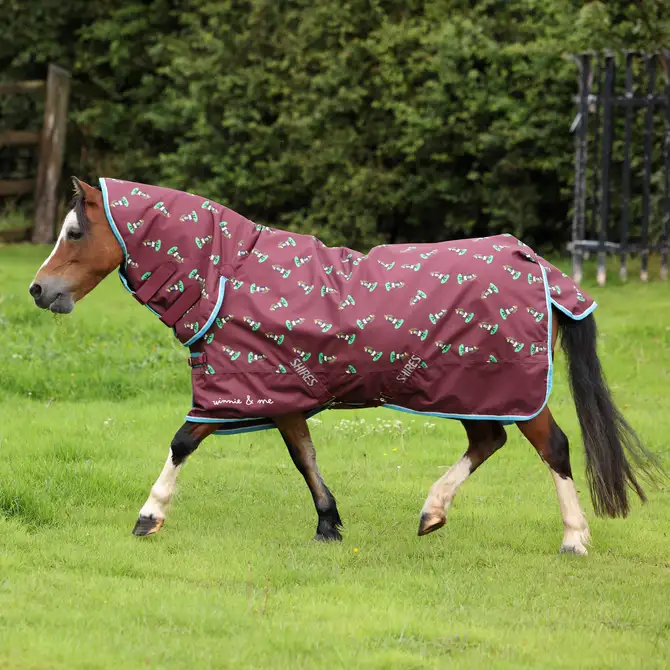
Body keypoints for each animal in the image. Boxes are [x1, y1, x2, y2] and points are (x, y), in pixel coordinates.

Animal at [28, 177, 662, 555]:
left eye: (74, 231)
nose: (38, 290)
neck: (230, 274)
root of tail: (535, 262)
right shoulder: (281, 392)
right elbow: (304, 457)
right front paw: (328, 524)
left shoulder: (233, 391)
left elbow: (184, 440)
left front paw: (149, 515)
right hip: (467, 388)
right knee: (487, 442)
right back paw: (432, 513)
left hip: (511, 390)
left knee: (553, 447)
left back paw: (574, 538)